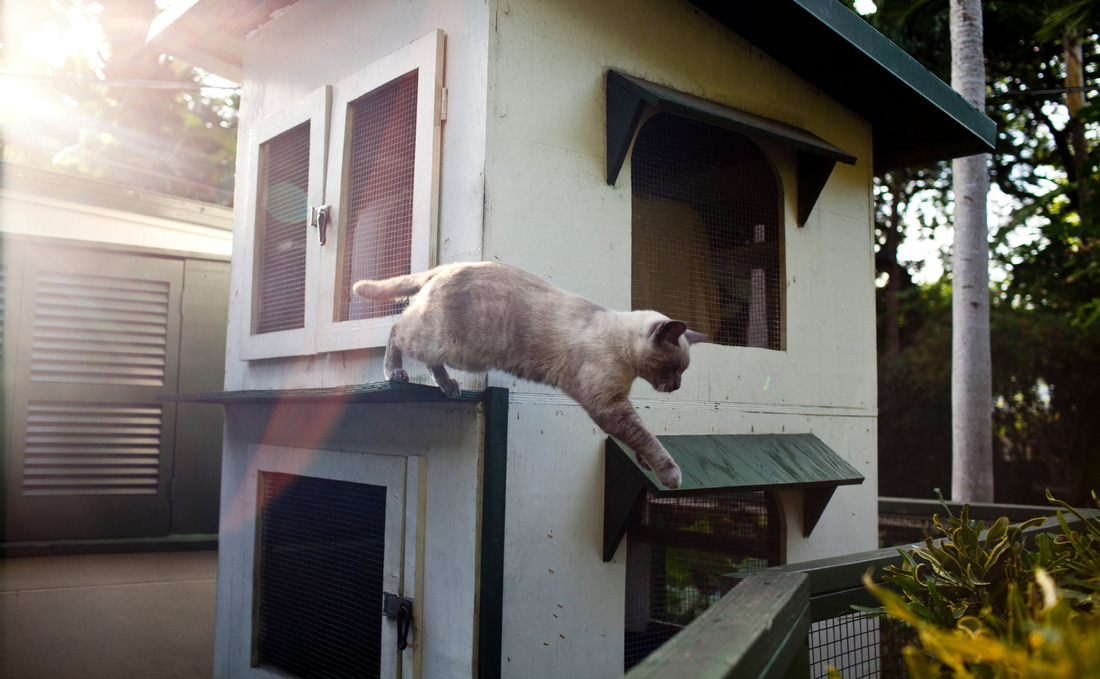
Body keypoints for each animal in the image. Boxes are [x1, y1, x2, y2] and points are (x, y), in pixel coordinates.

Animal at [356, 259, 708, 486]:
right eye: (675, 368)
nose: (676, 387)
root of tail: (447, 266)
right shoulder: (609, 406)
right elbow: (644, 436)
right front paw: (670, 474)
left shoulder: (614, 406)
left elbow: (640, 439)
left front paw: (646, 464)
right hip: (448, 344)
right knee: (396, 328)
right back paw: (395, 373)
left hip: (455, 352)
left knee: (427, 356)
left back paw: (448, 387)